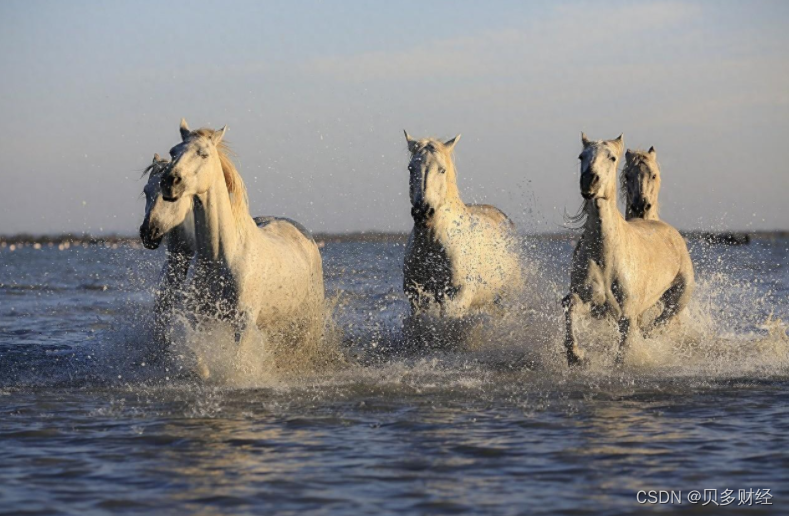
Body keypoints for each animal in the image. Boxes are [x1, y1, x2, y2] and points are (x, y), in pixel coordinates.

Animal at [404, 132, 520, 318]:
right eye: (410, 168)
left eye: (442, 169)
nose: (423, 212)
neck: (433, 244)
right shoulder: (417, 298)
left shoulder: (457, 298)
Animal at [564, 133, 692, 366]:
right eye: (581, 156)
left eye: (612, 157)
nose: (589, 181)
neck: (606, 254)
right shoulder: (589, 301)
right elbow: (570, 306)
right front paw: (576, 355)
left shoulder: (627, 314)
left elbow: (624, 349)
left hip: (678, 298)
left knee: (662, 321)